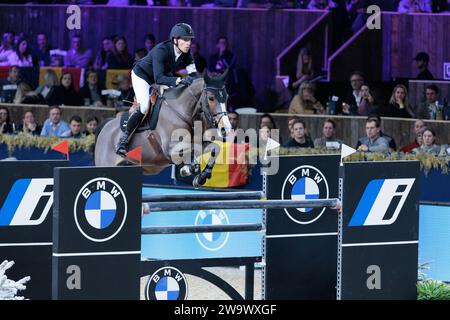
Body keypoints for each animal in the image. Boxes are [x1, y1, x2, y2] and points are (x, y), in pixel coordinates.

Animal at [96, 69, 234, 185]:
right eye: (211, 98)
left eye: (227, 97)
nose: (226, 129)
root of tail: (105, 126)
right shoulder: (170, 149)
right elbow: (195, 149)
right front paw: (189, 168)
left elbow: (215, 148)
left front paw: (201, 176)